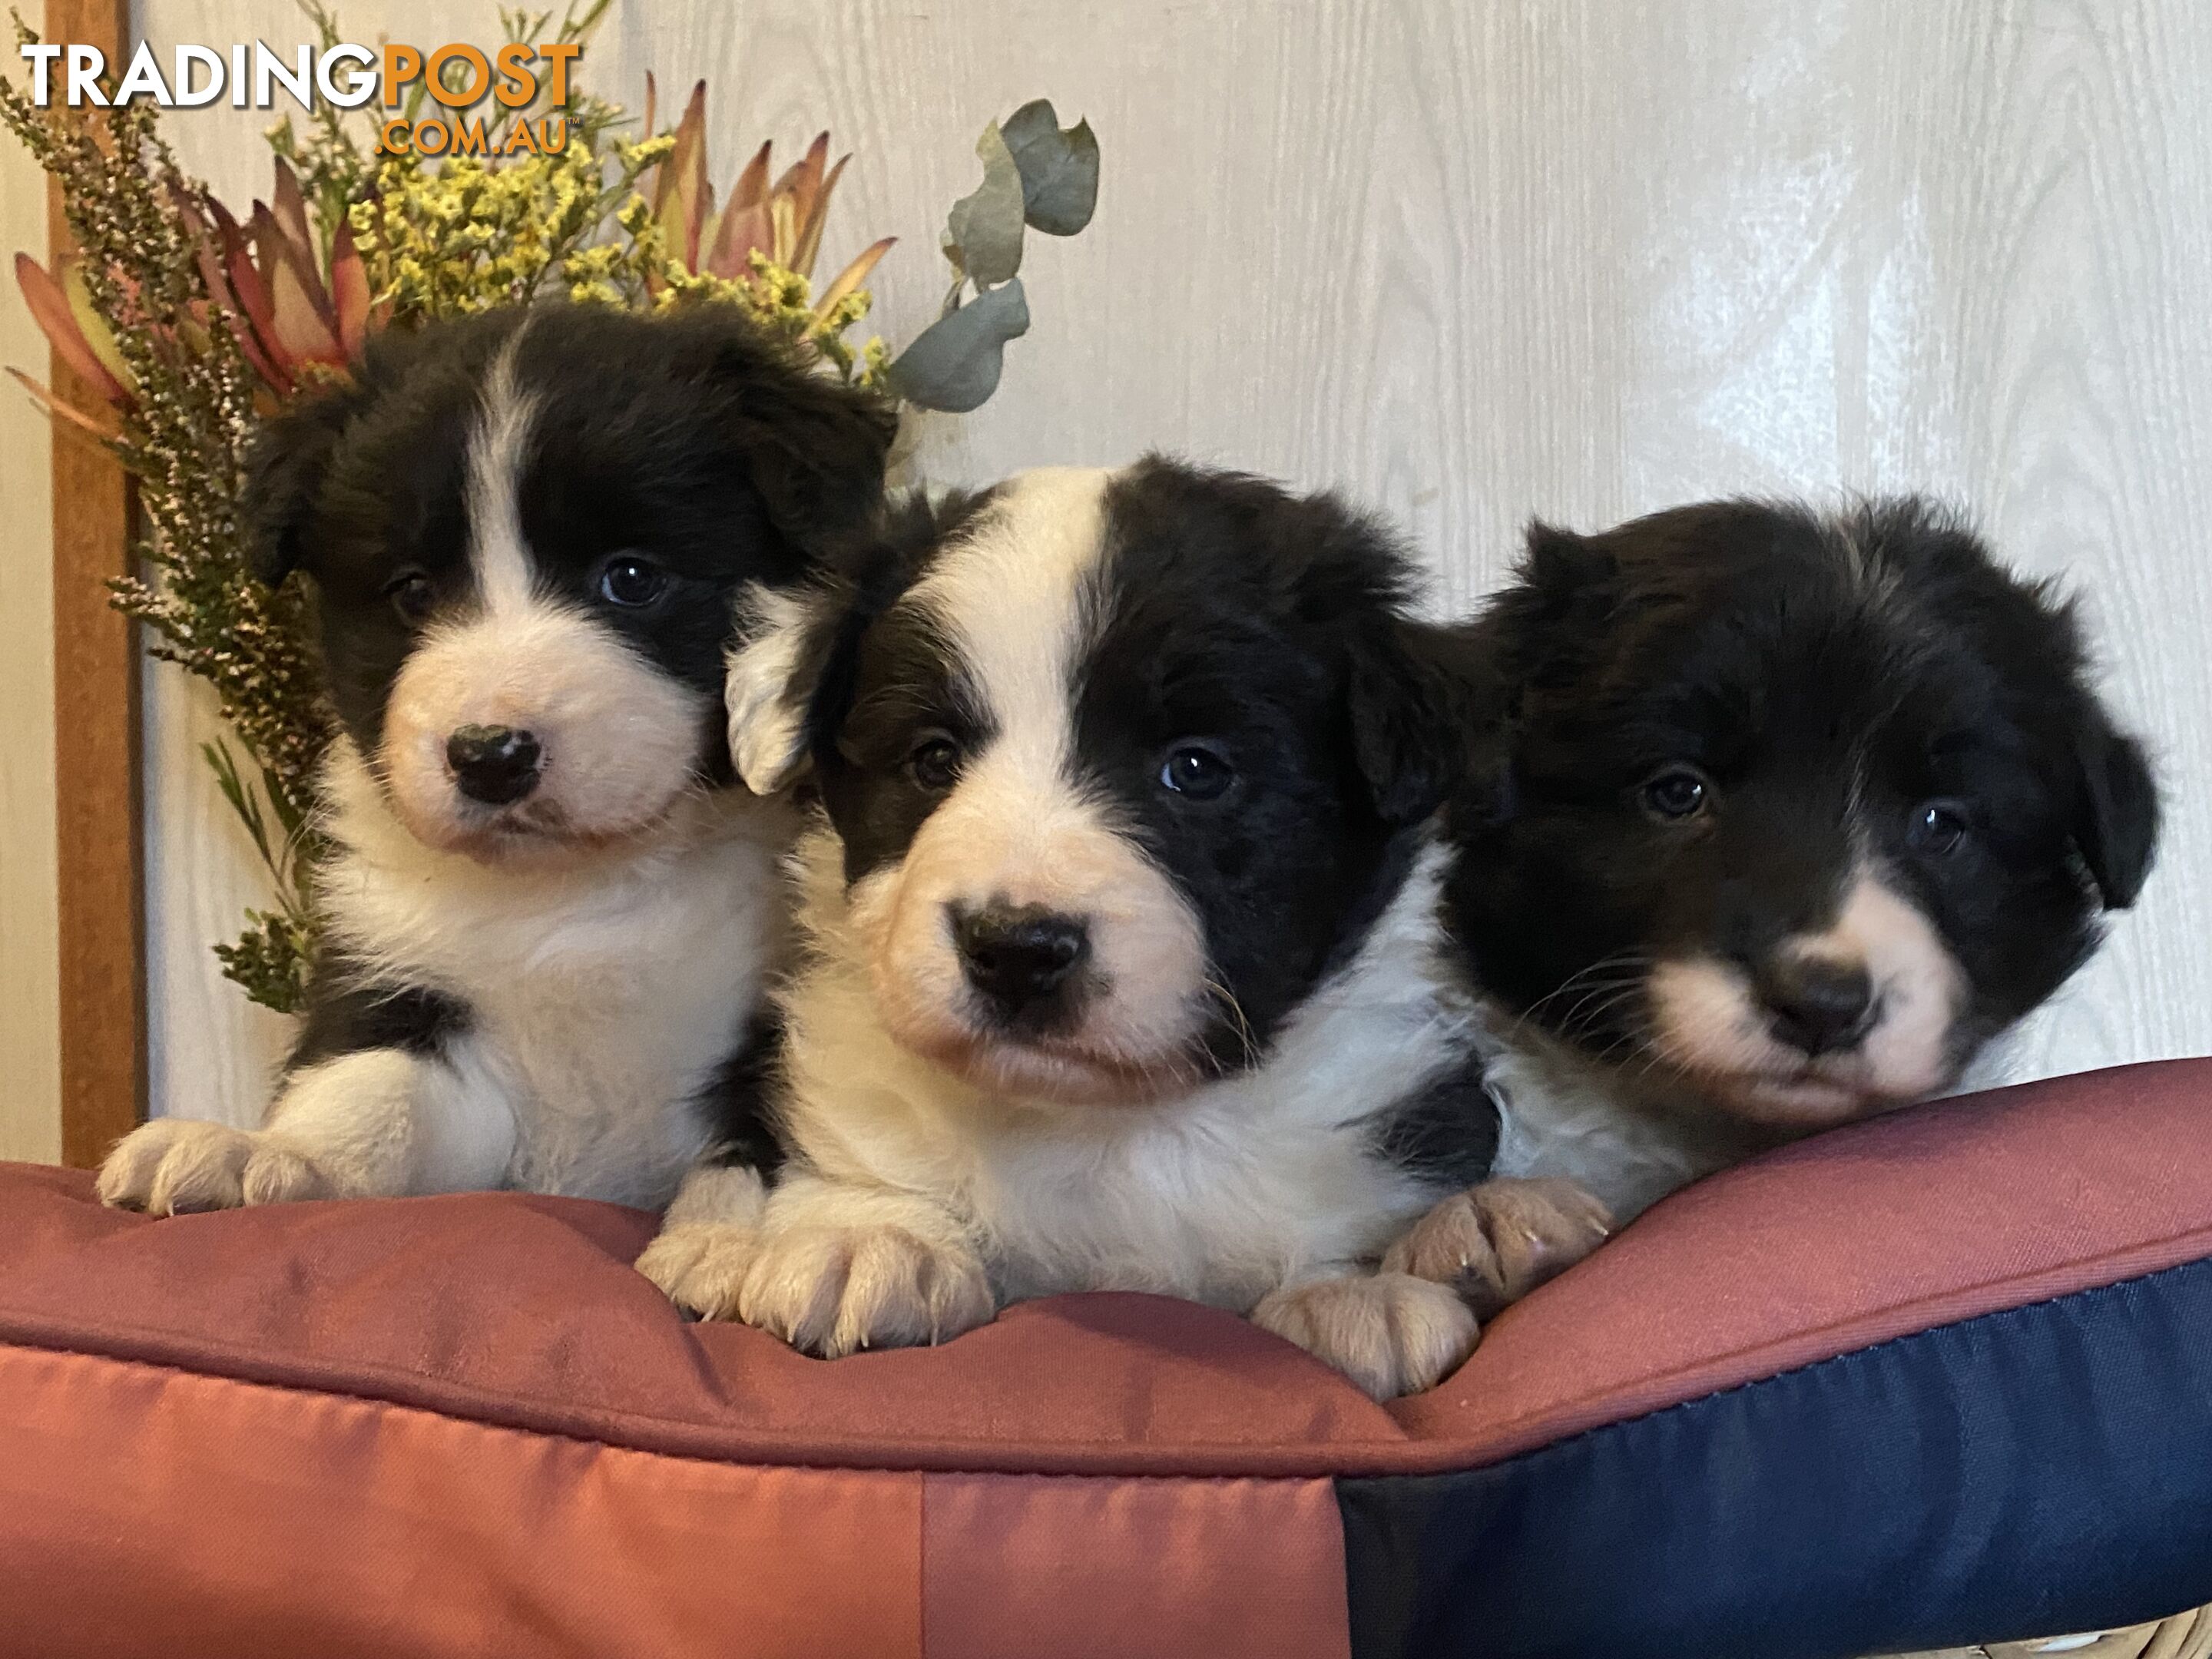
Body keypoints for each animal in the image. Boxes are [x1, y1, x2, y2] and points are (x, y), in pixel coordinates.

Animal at [94, 305, 889, 1212]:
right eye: (412, 590)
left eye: (632, 577)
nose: (490, 755)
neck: (575, 895)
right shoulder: (400, 979)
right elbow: (366, 1093)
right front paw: (257, 1151)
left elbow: (749, 1161)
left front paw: (727, 1237)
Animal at [632, 458, 1601, 1406]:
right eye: (933, 760)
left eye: (1196, 769)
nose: (1016, 949)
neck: (1111, 1130)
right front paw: (871, 1234)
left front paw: (1353, 1292)